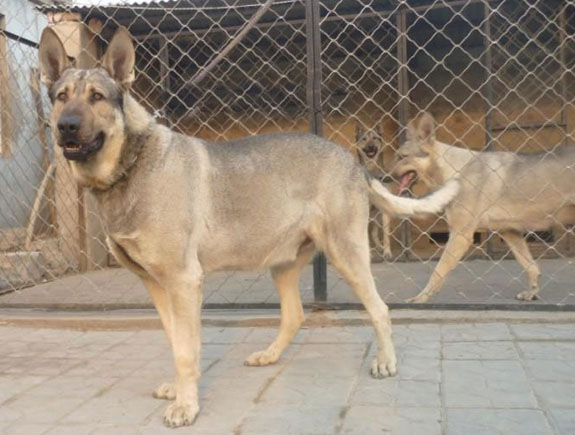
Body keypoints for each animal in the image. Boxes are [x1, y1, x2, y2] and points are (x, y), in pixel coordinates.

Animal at [394, 112, 575, 304]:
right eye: (397, 156)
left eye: (402, 157)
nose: (385, 177)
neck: (455, 171)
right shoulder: (510, 232)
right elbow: (531, 266)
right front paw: (531, 293)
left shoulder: (460, 235)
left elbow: (438, 271)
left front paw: (421, 298)